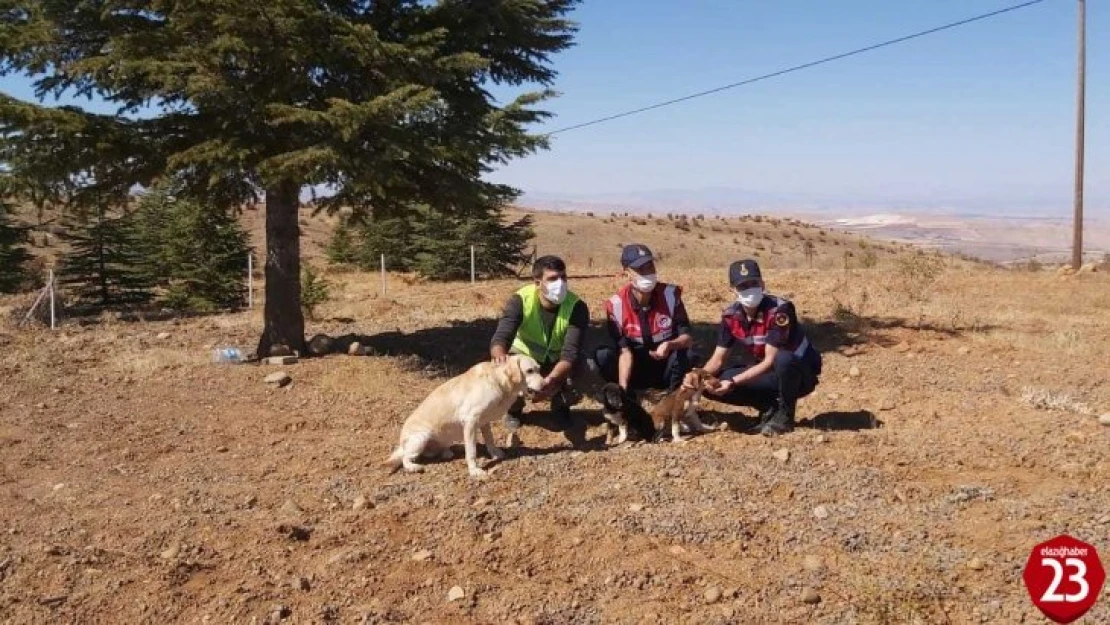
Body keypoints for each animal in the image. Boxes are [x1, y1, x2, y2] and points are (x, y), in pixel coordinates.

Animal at [381, 355, 546, 481]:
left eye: (539, 369)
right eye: (529, 371)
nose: (545, 385)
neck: (498, 380)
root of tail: (402, 443)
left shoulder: (484, 422)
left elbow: (490, 441)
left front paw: (495, 454)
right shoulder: (470, 422)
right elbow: (471, 451)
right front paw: (474, 470)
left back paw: (446, 452)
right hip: (421, 437)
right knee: (405, 458)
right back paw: (413, 467)